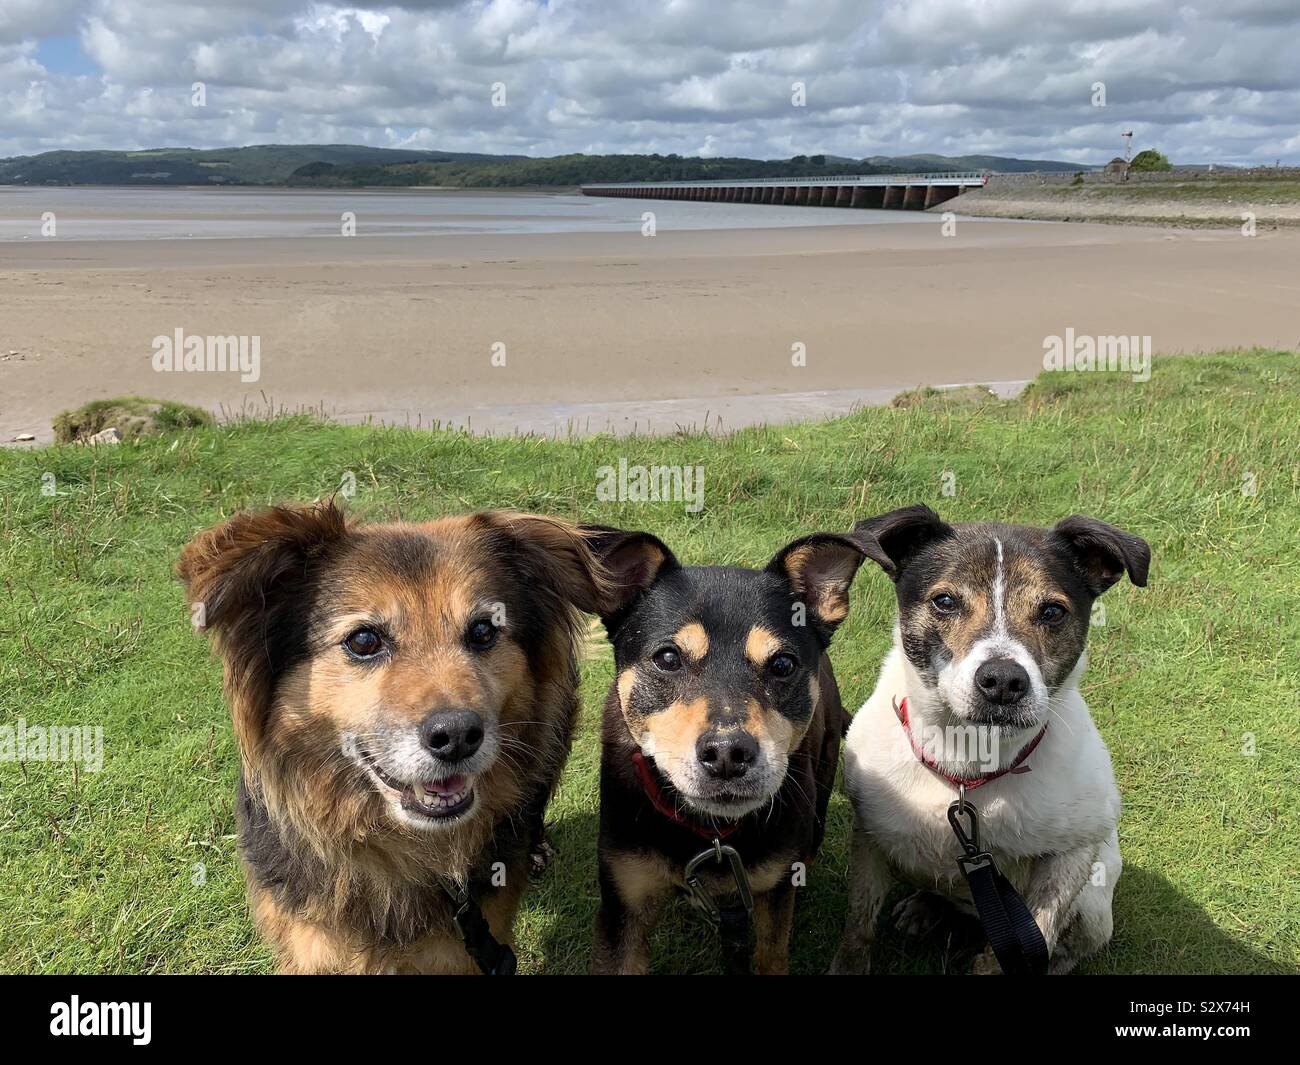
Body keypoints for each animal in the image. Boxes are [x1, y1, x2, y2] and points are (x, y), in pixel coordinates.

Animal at [585, 527, 868, 972]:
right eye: (667, 658)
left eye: (783, 665)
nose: (727, 754)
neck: (711, 834)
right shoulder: (623, 901)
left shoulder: (772, 893)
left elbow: (771, 955)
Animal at [832, 507, 1149, 972]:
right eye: (945, 602)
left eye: (1052, 611)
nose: (1002, 681)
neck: (968, 762)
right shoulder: (870, 835)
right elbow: (858, 926)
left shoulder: (1071, 854)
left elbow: (1034, 938)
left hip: (1092, 907)